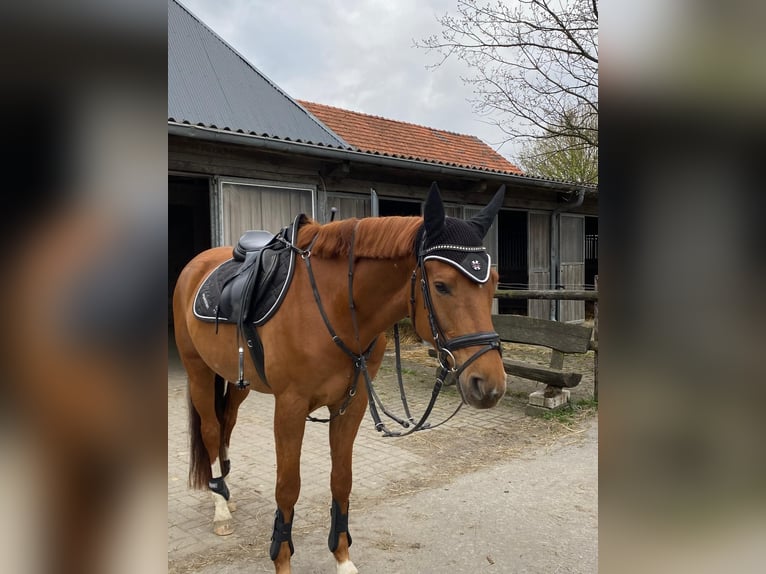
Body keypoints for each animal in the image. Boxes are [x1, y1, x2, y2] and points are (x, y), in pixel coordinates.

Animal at [174, 182, 510, 572]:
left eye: (494, 283)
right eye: (442, 285)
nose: (489, 384)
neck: (335, 306)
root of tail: (196, 265)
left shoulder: (352, 403)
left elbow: (342, 480)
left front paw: (342, 557)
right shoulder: (289, 407)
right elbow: (287, 487)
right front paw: (282, 559)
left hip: (238, 380)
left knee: (227, 422)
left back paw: (225, 490)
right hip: (198, 370)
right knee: (212, 430)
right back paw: (220, 509)